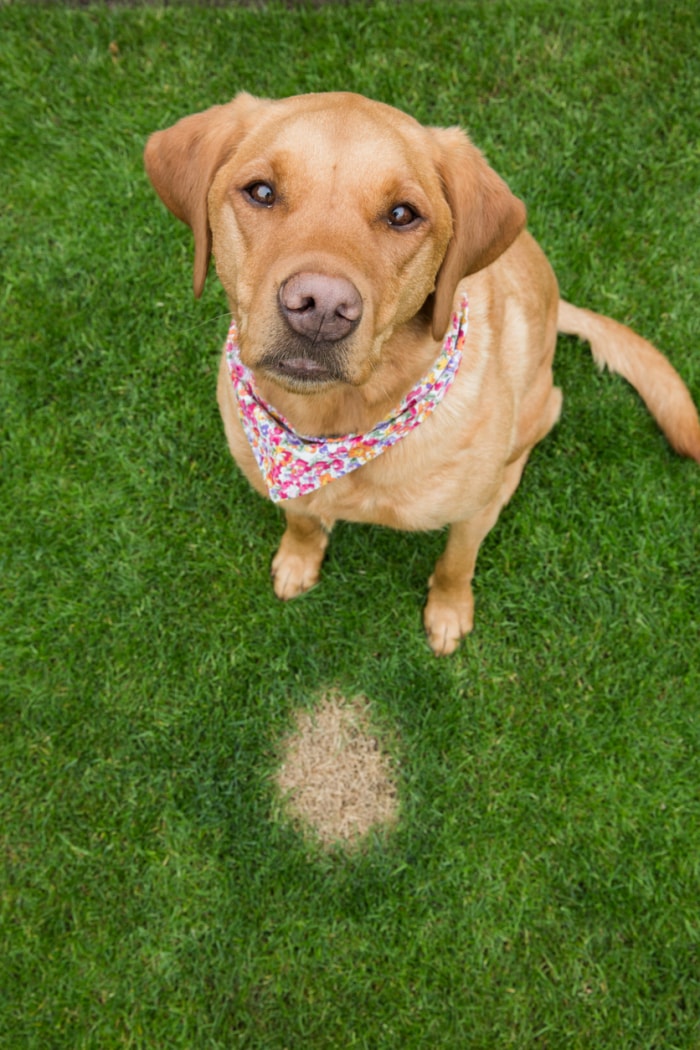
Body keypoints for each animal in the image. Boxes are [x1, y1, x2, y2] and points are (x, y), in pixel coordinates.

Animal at [143, 90, 700, 651]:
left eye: (402, 214)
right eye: (261, 191)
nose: (320, 307)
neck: (334, 428)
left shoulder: (470, 517)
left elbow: (457, 562)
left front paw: (448, 612)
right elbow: (300, 518)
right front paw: (299, 558)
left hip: (538, 405)